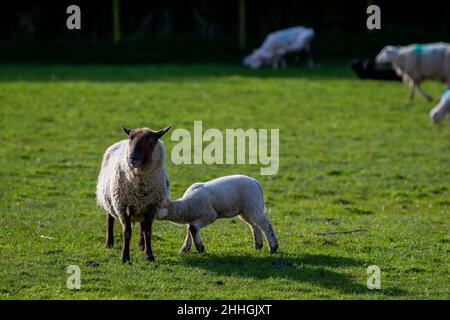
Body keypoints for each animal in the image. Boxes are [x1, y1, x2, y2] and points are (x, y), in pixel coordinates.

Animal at [96, 125, 171, 262]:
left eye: (150, 140)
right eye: (131, 138)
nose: (132, 158)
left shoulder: (152, 207)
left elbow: (148, 231)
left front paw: (149, 255)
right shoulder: (122, 206)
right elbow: (127, 232)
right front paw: (124, 257)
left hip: (142, 207)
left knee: (142, 226)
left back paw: (142, 245)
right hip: (109, 198)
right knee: (109, 218)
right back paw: (109, 243)